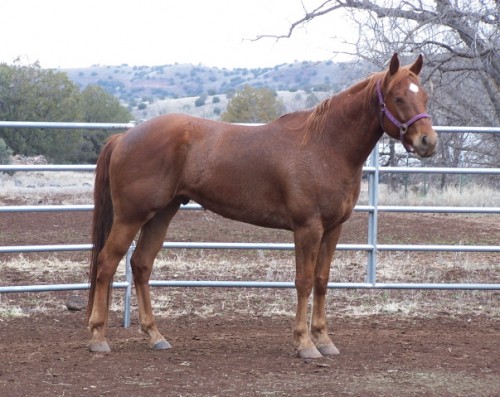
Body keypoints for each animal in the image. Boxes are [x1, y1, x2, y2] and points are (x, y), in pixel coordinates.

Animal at [87, 53, 438, 358]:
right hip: (131, 217)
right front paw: (304, 344)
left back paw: (155, 336)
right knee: (106, 263)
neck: (325, 146)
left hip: (161, 214)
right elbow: (304, 282)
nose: (428, 142)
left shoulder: (333, 229)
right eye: (397, 97)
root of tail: (125, 136)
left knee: (141, 265)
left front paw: (324, 340)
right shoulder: (307, 229)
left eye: (424, 96)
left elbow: (322, 281)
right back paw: (99, 337)